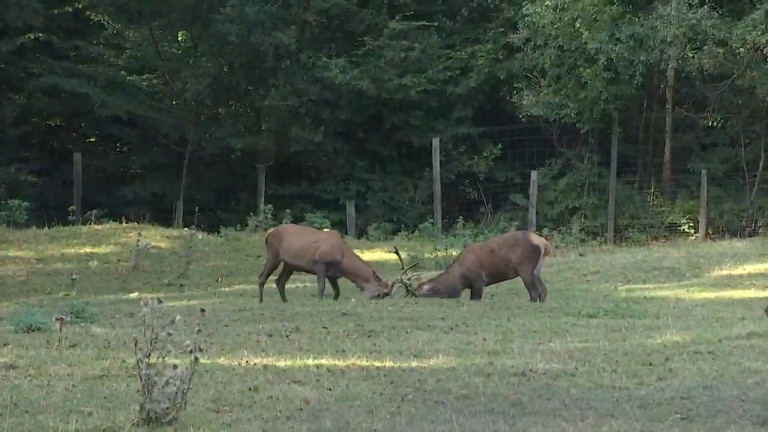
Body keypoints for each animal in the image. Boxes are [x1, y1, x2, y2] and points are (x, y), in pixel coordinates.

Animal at [258, 224, 392, 302]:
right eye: (380, 294)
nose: (373, 300)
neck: (342, 261)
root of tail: (268, 235)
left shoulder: (332, 274)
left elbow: (337, 292)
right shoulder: (320, 262)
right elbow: (321, 286)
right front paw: (319, 301)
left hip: (290, 265)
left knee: (280, 281)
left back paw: (285, 301)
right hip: (273, 255)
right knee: (262, 277)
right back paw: (261, 301)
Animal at [392, 230, 548, 304]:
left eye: (419, 294)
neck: (460, 279)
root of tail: (544, 243)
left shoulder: (478, 280)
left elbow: (475, 299)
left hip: (525, 267)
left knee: (535, 292)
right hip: (537, 269)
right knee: (544, 291)